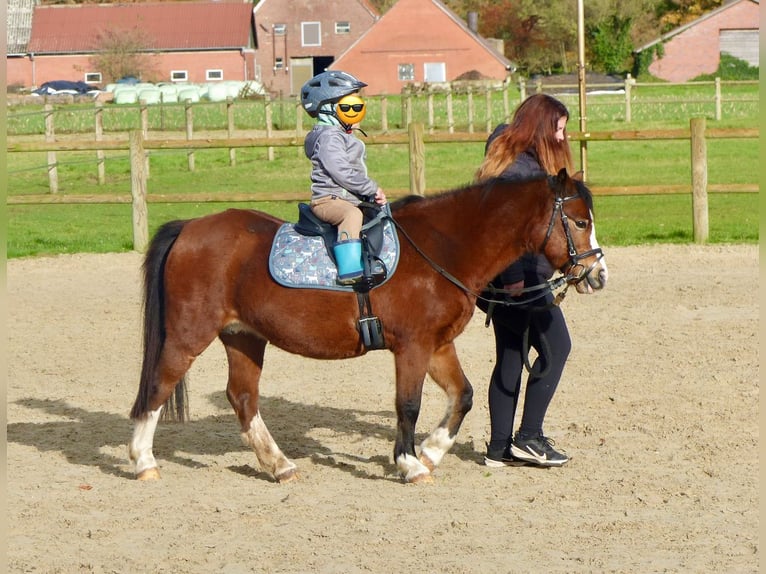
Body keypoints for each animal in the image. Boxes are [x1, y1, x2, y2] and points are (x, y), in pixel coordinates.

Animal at [132, 170, 612, 486]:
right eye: (580, 222)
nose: (598, 275)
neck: (442, 249)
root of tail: (190, 228)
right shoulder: (412, 347)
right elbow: (408, 405)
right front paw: (410, 463)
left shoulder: (437, 346)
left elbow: (464, 396)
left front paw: (431, 451)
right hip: (188, 335)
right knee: (157, 387)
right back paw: (143, 461)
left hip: (244, 337)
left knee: (243, 397)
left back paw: (279, 465)